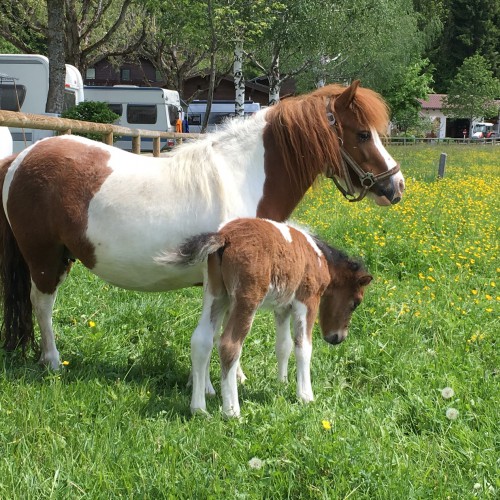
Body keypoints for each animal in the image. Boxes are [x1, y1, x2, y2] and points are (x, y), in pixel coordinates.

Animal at [160, 217, 372, 416]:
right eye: (355, 302)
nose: (338, 338)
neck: (318, 258)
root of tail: (225, 237)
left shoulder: (283, 307)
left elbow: (283, 345)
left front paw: (282, 383)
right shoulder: (307, 300)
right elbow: (303, 346)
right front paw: (305, 396)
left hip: (216, 294)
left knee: (201, 341)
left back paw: (199, 409)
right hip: (247, 299)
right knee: (229, 345)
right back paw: (232, 411)